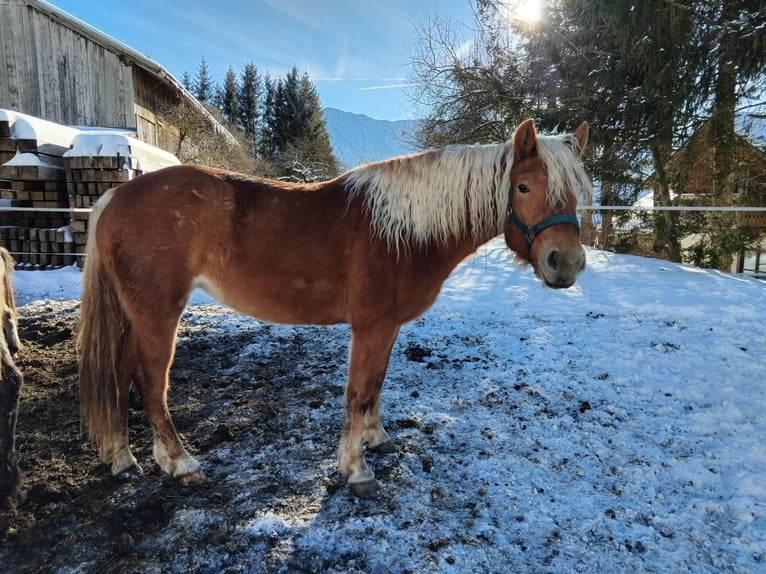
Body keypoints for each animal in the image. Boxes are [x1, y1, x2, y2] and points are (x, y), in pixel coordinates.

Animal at [79, 118, 592, 500]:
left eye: (576, 191)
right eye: (522, 187)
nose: (565, 264)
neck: (404, 230)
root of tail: (116, 196)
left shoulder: (387, 328)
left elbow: (377, 384)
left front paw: (376, 439)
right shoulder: (371, 326)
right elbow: (358, 391)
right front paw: (356, 469)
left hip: (137, 314)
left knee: (120, 374)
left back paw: (127, 459)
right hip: (159, 313)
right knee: (149, 382)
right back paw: (181, 463)